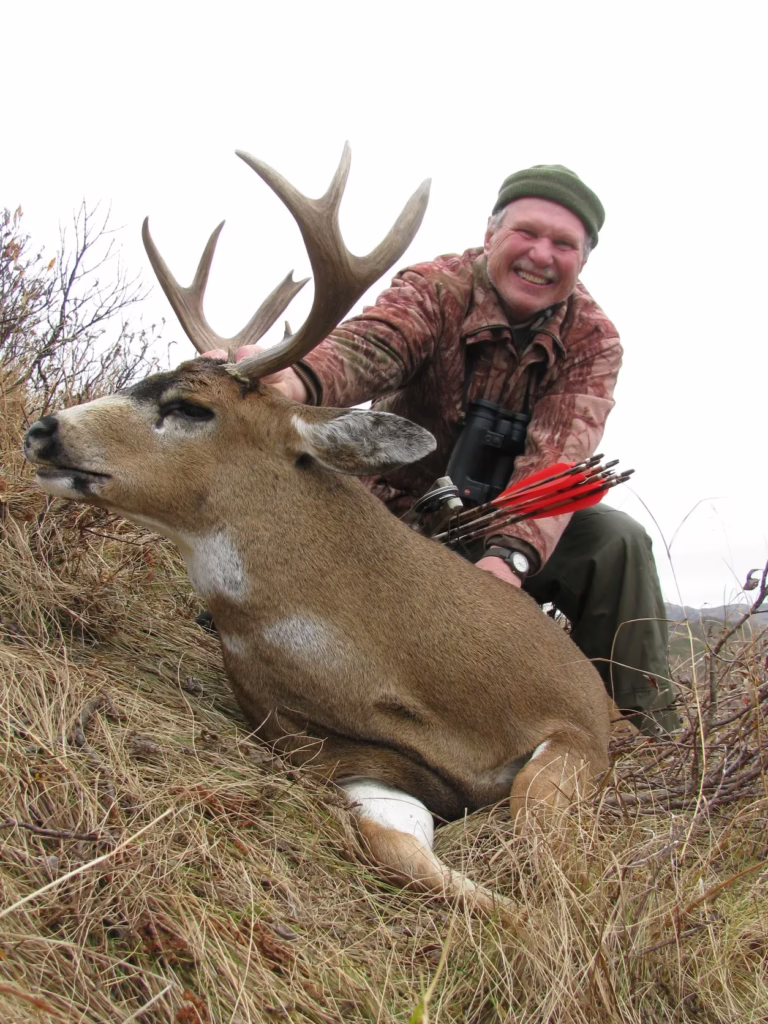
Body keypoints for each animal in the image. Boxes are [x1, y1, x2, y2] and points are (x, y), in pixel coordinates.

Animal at [24, 145, 612, 913]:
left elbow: (546, 851)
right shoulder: (341, 760)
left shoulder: (581, 730)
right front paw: (509, 910)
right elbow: (397, 848)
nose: (44, 428)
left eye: (192, 407)